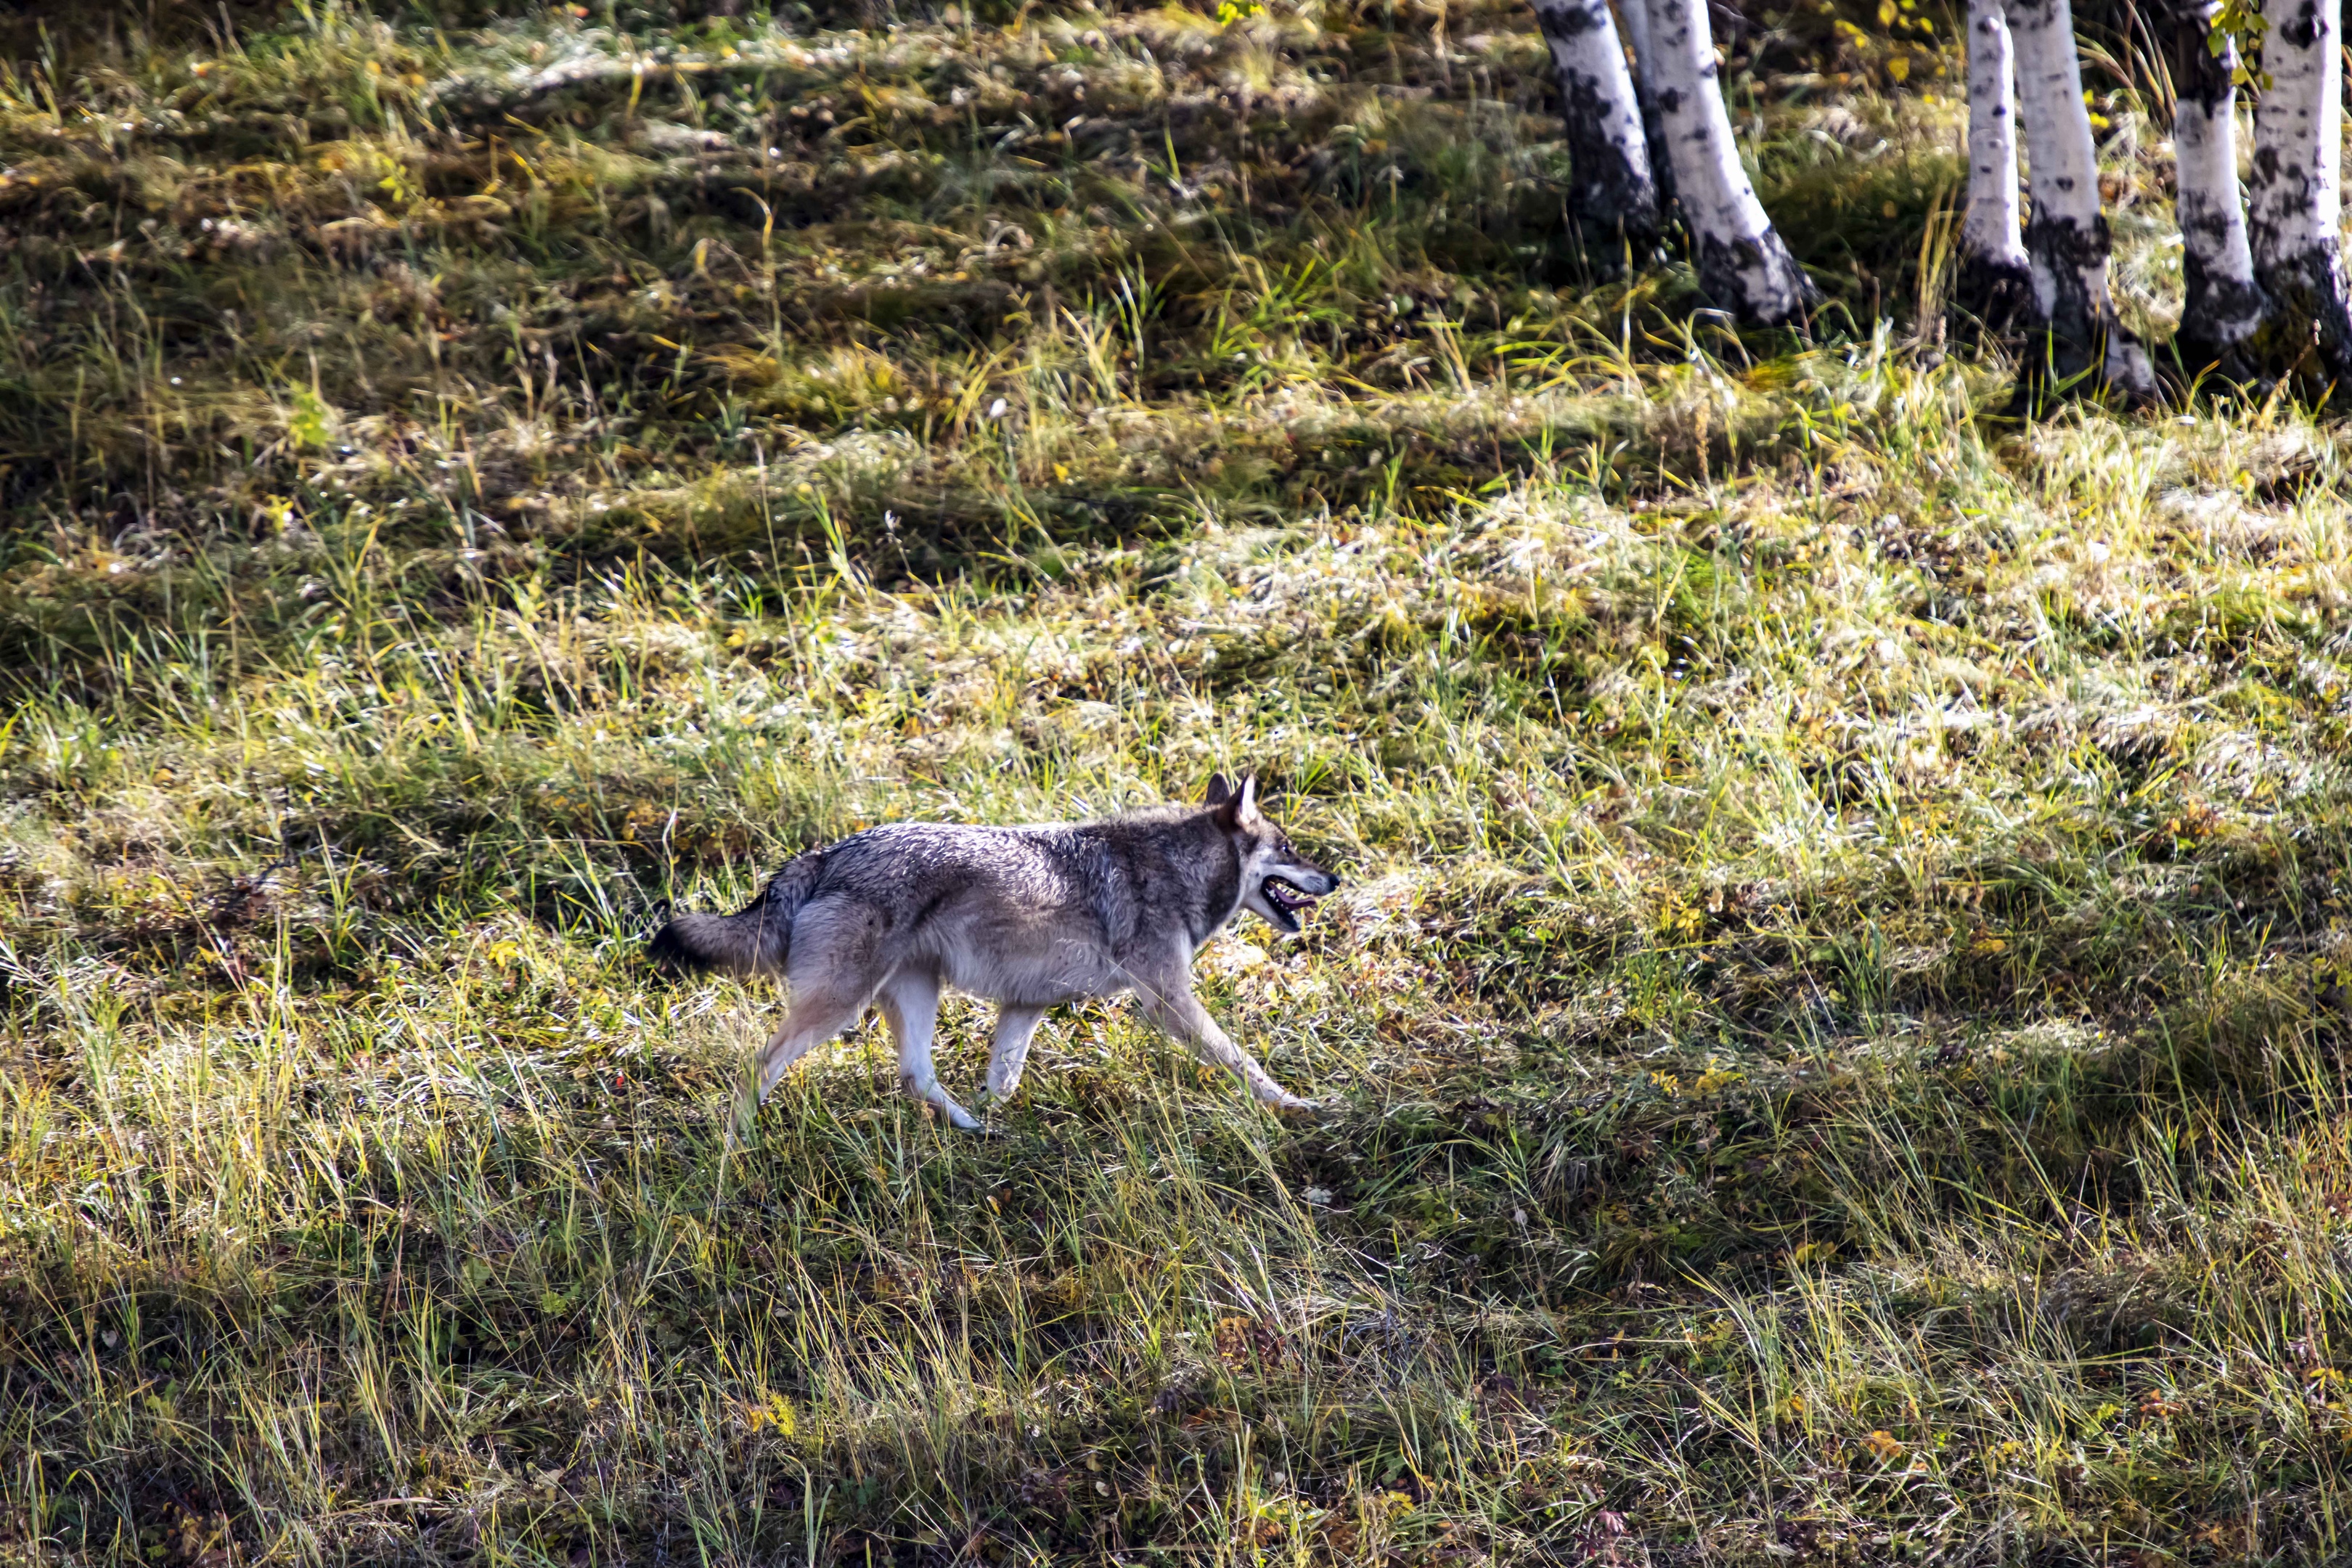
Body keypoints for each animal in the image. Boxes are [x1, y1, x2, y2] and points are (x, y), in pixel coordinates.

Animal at [644, 775, 1345, 1128]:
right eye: (1290, 848)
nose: (1335, 879)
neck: (1175, 868)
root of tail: (824, 854)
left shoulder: (1025, 1007)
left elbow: (1001, 1082)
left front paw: (994, 1117)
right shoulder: (1168, 1001)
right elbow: (1241, 1060)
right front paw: (1295, 1105)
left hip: (912, 994)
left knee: (915, 1076)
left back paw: (975, 1131)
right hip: (839, 1008)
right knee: (758, 1065)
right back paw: (737, 1145)